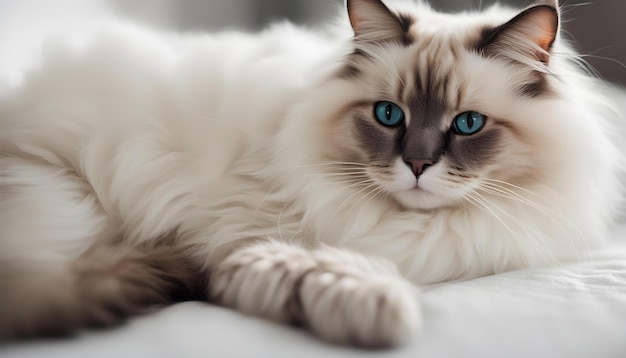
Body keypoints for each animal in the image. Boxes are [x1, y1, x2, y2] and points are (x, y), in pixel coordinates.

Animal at [0, 0, 620, 346]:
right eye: (388, 115)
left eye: (467, 124)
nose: (418, 165)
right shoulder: (241, 246)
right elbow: (335, 273)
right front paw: (382, 311)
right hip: (72, 209)